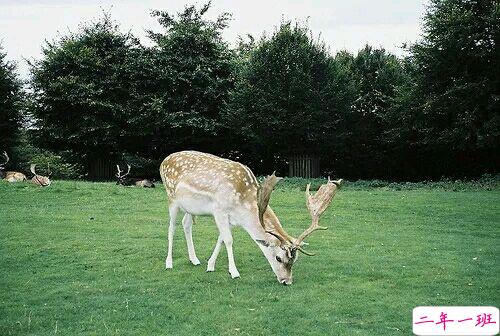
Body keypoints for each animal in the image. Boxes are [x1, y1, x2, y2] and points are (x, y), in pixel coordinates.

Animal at [160, 151, 344, 284]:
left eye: (296, 259)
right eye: (278, 257)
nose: (287, 281)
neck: (242, 206)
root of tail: (163, 161)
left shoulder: (230, 218)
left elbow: (221, 239)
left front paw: (210, 265)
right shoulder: (219, 210)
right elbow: (228, 240)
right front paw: (234, 272)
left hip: (190, 208)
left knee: (186, 224)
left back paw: (194, 259)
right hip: (171, 197)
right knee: (171, 227)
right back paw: (169, 263)